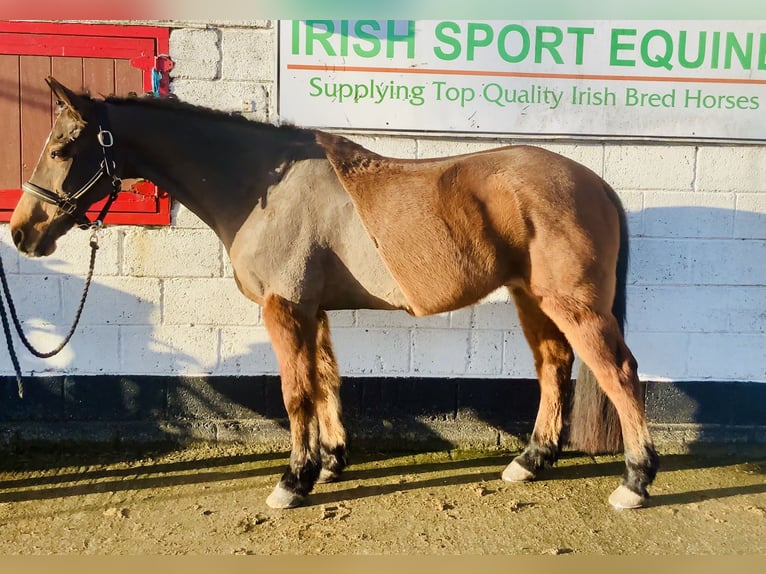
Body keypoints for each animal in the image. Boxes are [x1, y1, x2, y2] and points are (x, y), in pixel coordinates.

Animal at [9, 77, 658, 510]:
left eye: (62, 148)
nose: (22, 232)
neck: (258, 185)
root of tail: (596, 182)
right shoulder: (312, 311)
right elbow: (325, 381)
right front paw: (330, 463)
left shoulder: (285, 309)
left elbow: (295, 394)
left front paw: (292, 481)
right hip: (532, 299)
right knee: (554, 366)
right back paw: (531, 461)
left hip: (573, 304)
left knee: (619, 373)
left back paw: (635, 480)